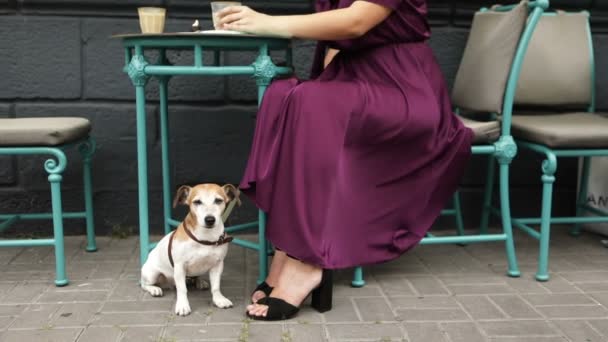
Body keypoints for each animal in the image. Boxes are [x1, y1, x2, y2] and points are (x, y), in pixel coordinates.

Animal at [141, 184, 239, 316]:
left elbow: (216, 286)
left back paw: (199, 282)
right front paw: (183, 305)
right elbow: (182, 289)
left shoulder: (218, 265)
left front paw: (219, 300)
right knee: (144, 284)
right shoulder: (179, 267)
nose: (210, 219)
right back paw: (154, 289)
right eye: (197, 202)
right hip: (152, 273)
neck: (205, 238)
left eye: (218, 200)